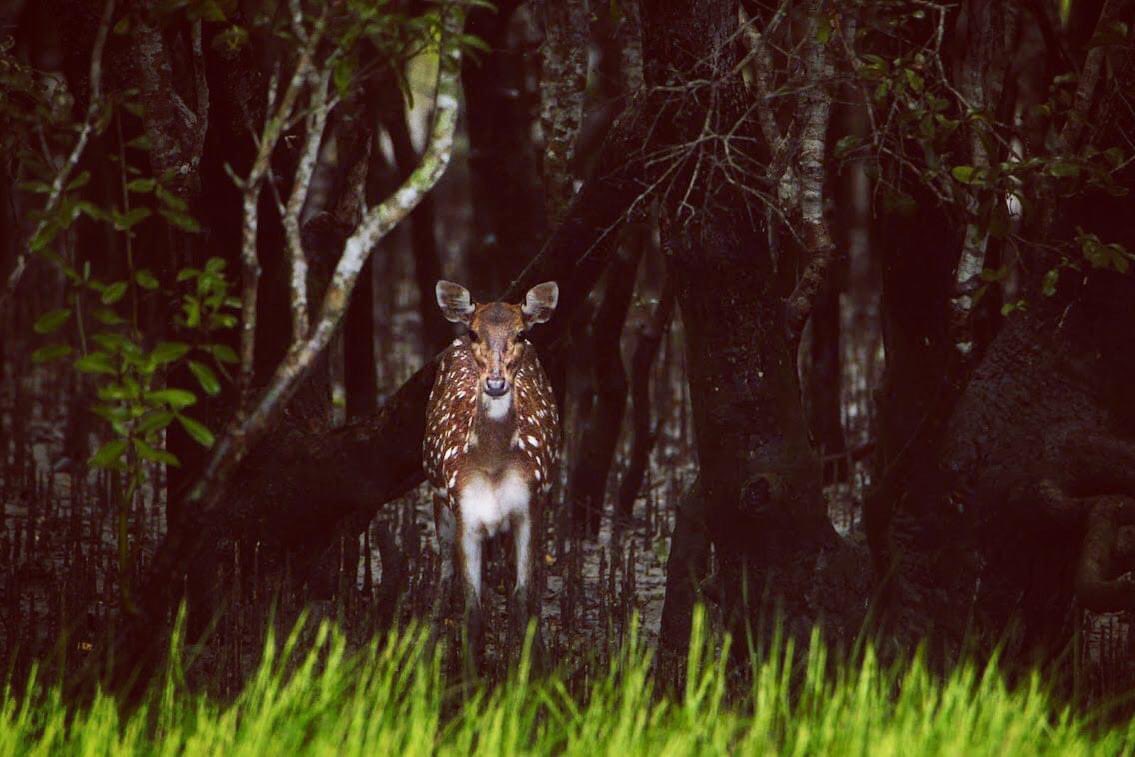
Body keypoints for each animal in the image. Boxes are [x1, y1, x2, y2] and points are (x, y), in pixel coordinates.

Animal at [424, 281, 560, 653]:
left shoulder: (528, 508)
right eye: (474, 332)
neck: (493, 467)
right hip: (437, 499)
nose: (496, 383)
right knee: (443, 571)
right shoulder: (465, 514)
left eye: (521, 333)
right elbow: (473, 612)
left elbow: (522, 600)